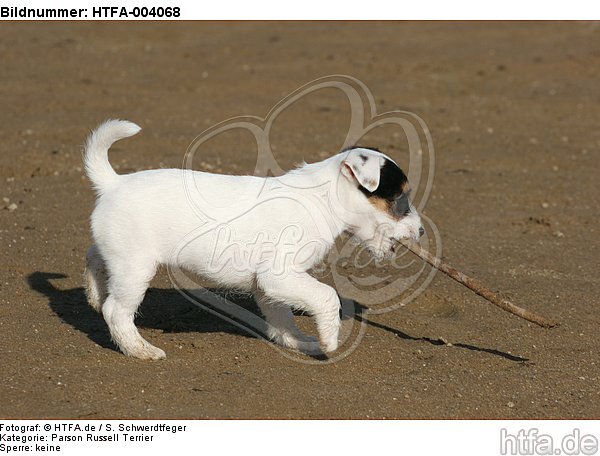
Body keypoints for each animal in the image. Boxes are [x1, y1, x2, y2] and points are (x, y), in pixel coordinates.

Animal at [83, 120, 422, 360]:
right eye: (400, 199)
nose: (421, 232)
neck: (320, 198)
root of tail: (114, 183)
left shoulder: (269, 285)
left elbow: (282, 318)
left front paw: (299, 342)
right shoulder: (279, 275)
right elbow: (326, 296)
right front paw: (329, 340)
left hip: (118, 254)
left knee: (94, 257)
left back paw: (94, 294)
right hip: (136, 267)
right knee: (117, 311)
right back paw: (139, 349)